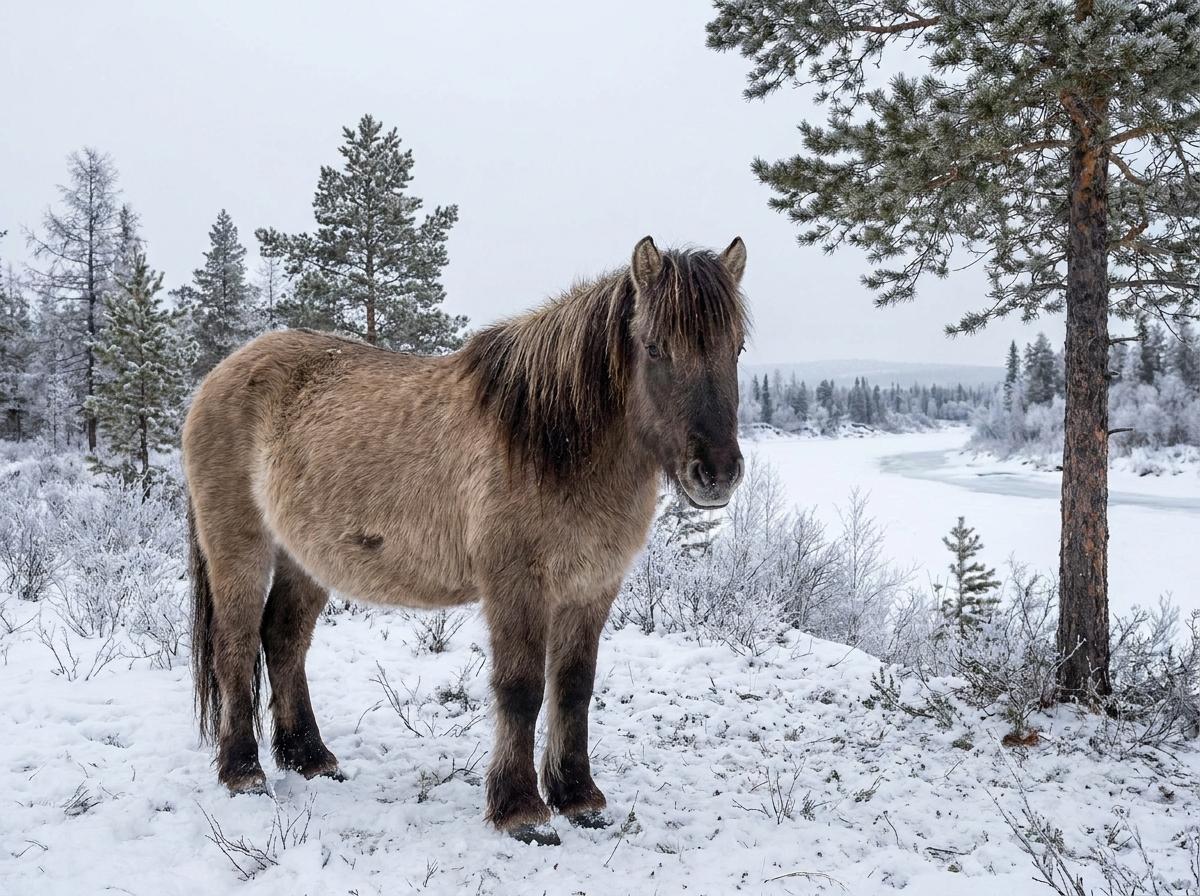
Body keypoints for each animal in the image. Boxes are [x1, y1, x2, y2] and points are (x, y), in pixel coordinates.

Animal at [183, 235, 748, 843]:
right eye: (655, 348)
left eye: (736, 349)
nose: (717, 472)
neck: (552, 442)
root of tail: (218, 375)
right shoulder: (515, 586)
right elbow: (521, 688)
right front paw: (521, 810)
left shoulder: (591, 588)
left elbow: (574, 687)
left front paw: (579, 797)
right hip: (239, 548)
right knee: (237, 646)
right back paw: (244, 772)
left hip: (305, 560)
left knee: (284, 640)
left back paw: (310, 758)